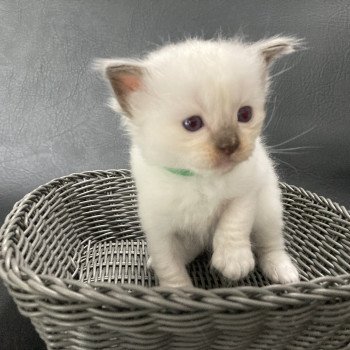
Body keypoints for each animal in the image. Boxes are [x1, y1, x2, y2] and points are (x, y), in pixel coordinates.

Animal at [96, 36, 300, 288]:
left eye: (244, 115)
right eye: (192, 124)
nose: (230, 145)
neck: (198, 178)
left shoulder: (246, 192)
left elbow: (234, 222)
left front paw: (234, 262)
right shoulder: (159, 230)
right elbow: (169, 267)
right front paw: (179, 292)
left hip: (268, 212)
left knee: (270, 245)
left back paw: (284, 272)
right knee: (189, 249)